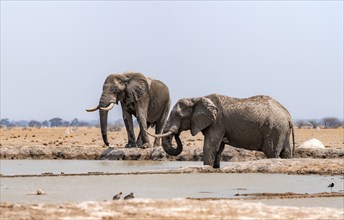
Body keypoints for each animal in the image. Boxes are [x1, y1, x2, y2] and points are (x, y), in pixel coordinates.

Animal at [149, 93, 294, 168]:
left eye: (179, 115)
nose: (177, 134)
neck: (197, 98)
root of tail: (288, 116)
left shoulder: (217, 123)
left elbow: (210, 146)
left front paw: (206, 167)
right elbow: (218, 149)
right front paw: (214, 168)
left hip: (274, 128)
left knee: (271, 152)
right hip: (282, 130)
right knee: (285, 153)